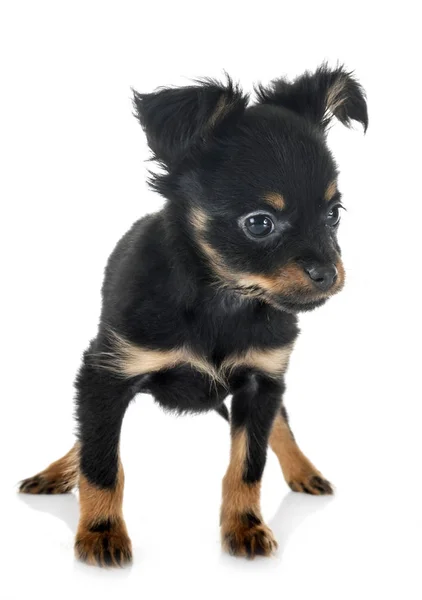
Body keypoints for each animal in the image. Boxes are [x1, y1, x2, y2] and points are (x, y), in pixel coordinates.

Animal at [19, 65, 366, 568]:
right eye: (259, 223)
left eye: (334, 214)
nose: (327, 273)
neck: (221, 300)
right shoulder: (107, 374)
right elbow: (101, 462)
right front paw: (102, 533)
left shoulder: (262, 380)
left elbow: (248, 463)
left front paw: (245, 526)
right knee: (89, 438)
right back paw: (58, 473)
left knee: (279, 423)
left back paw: (303, 469)